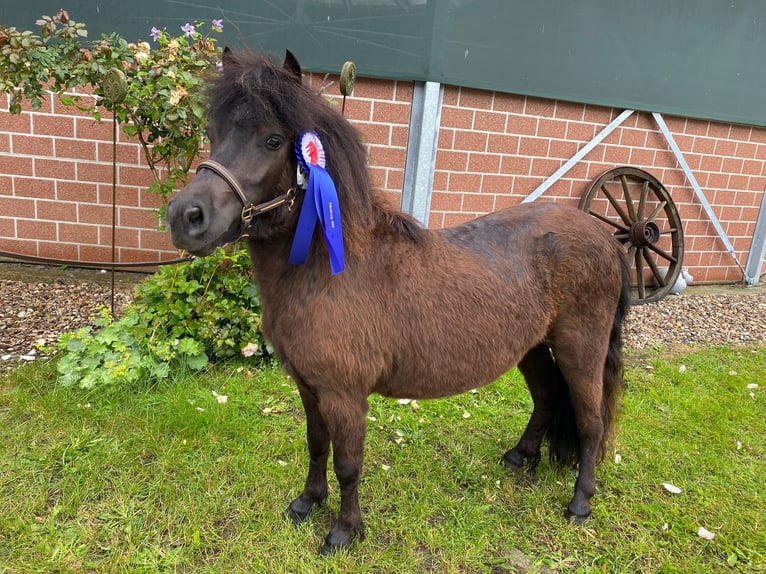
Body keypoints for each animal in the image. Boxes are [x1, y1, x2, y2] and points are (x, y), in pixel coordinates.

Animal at [168, 50, 632, 560]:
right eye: (213, 133)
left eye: (272, 140)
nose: (185, 217)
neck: (327, 269)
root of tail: (606, 238)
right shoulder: (309, 387)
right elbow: (316, 445)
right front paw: (306, 504)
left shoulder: (344, 395)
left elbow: (348, 463)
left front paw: (344, 532)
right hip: (531, 347)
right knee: (548, 396)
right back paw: (520, 457)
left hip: (580, 348)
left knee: (591, 421)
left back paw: (580, 503)